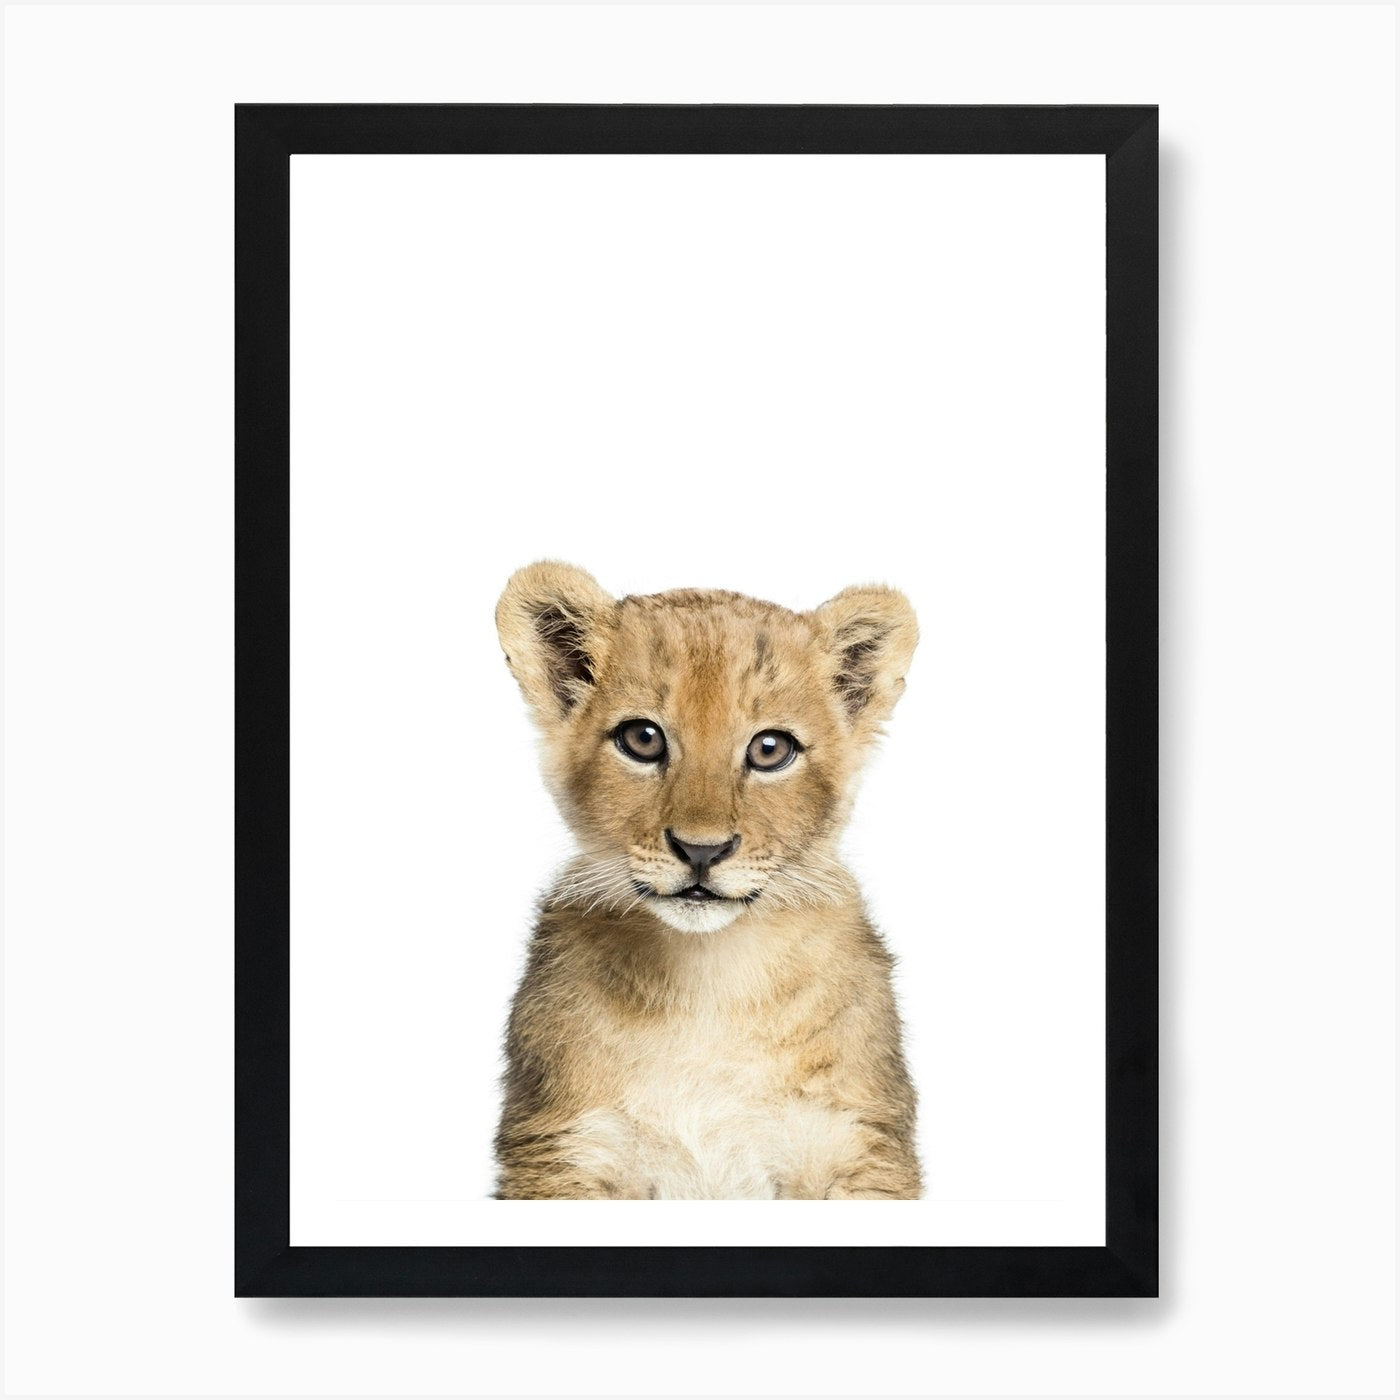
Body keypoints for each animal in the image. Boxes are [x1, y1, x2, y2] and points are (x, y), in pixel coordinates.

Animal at [492, 561, 922, 1200]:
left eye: (770, 749)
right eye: (642, 739)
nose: (702, 850)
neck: (709, 982)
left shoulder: (857, 1144)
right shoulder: (564, 1148)